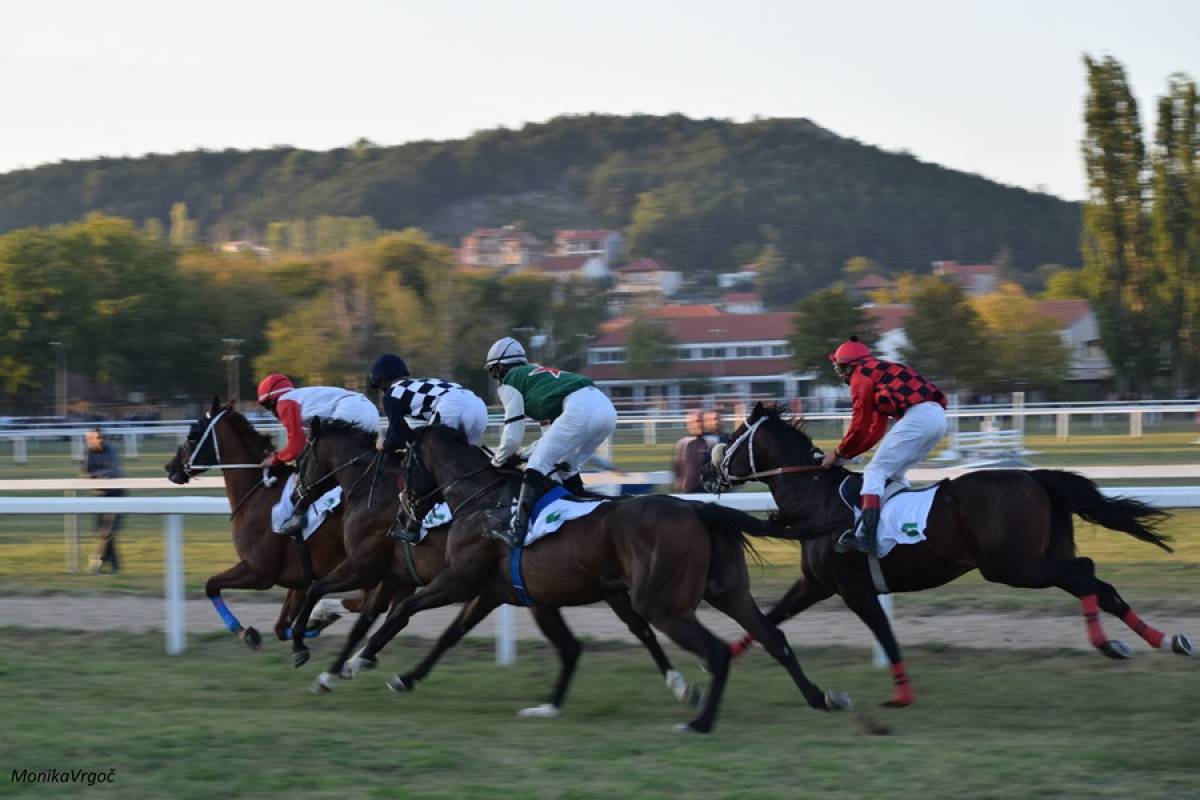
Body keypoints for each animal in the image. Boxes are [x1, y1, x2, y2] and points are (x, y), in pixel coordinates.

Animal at [166, 400, 357, 652]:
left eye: (192, 434)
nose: (170, 467)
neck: (259, 492)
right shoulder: (300, 578)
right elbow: (281, 628)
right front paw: (315, 624)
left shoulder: (259, 572)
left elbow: (211, 585)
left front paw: (246, 632)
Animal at [290, 417, 705, 710]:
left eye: (301, 459)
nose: (295, 497)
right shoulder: (409, 578)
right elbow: (379, 621)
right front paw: (337, 668)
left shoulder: (375, 568)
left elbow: (328, 593)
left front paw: (313, 650)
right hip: (601, 587)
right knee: (639, 628)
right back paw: (681, 685)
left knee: (629, 630)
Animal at [331, 422, 854, 734]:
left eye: (403, 463)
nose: (403, 518)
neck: (481, 500)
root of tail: (697, 509)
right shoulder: (492, 591)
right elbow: (450, 635)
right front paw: (405, 677)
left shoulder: (461, 580)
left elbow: (404, 609)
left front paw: (359, 662)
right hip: (727, 592)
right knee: (772, 638)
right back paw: (822, 697)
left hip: (662, 603)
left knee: (718, 652)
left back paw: (700, 723)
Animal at [700, 407, 1190, 705]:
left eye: (733, 437)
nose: (706, 472)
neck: (816, 501)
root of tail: (1037, 478)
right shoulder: (817, 584)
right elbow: (772, 617)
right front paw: (726, 657)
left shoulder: (853, 587)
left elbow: (885, 634)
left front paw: (901, 695)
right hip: (1036, 559)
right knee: (1097, 583)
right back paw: (1164, 640)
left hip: (1014, 566)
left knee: (1086, 573)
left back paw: (1110, 644)